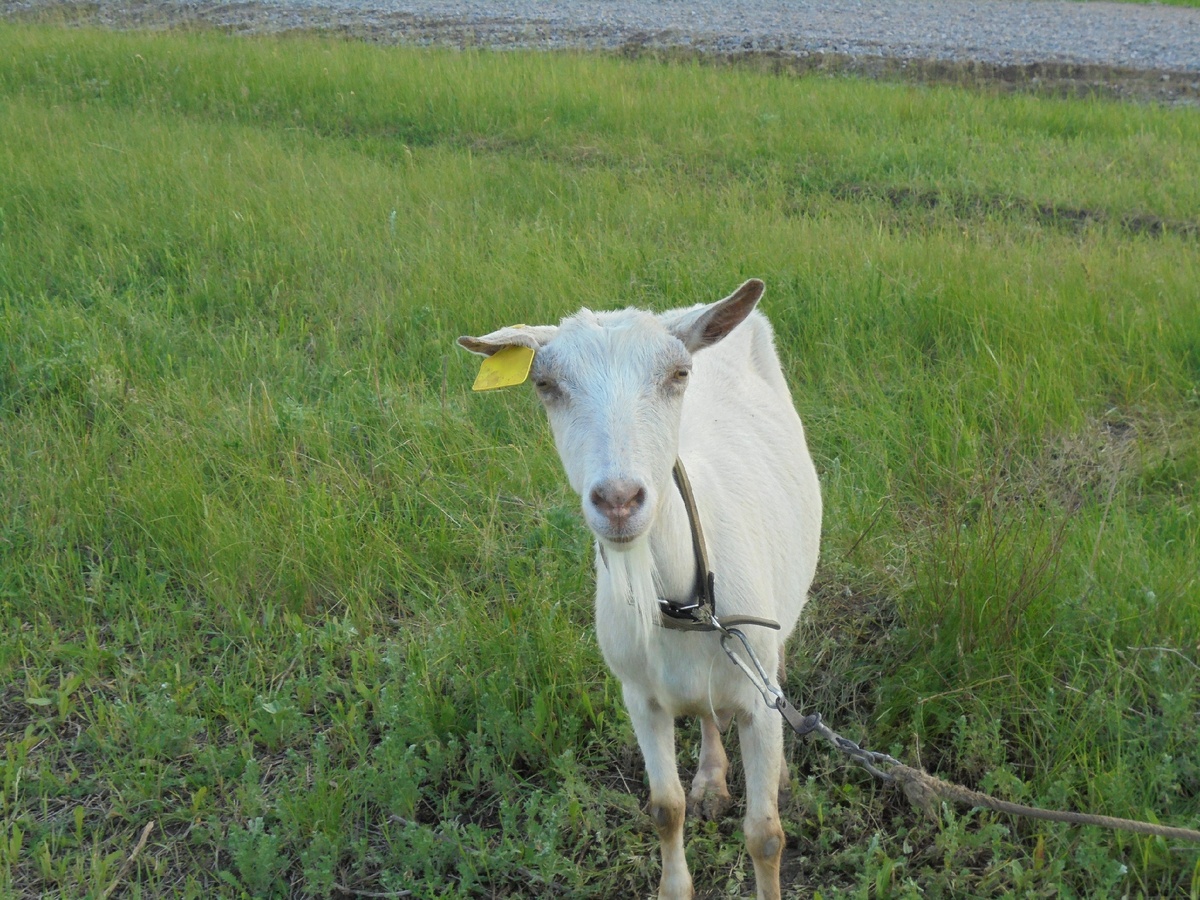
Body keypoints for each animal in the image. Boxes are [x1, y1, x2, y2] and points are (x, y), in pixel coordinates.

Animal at [453, 278, 820, 897]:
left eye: (678, 374)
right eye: (545, 385)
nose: (620, 499)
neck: (686, 601)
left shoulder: (755, 690)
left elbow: (766, 835)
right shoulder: (639, 696)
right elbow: (664, 808)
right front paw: (675, 881)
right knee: (704, 713)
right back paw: (711, 780)